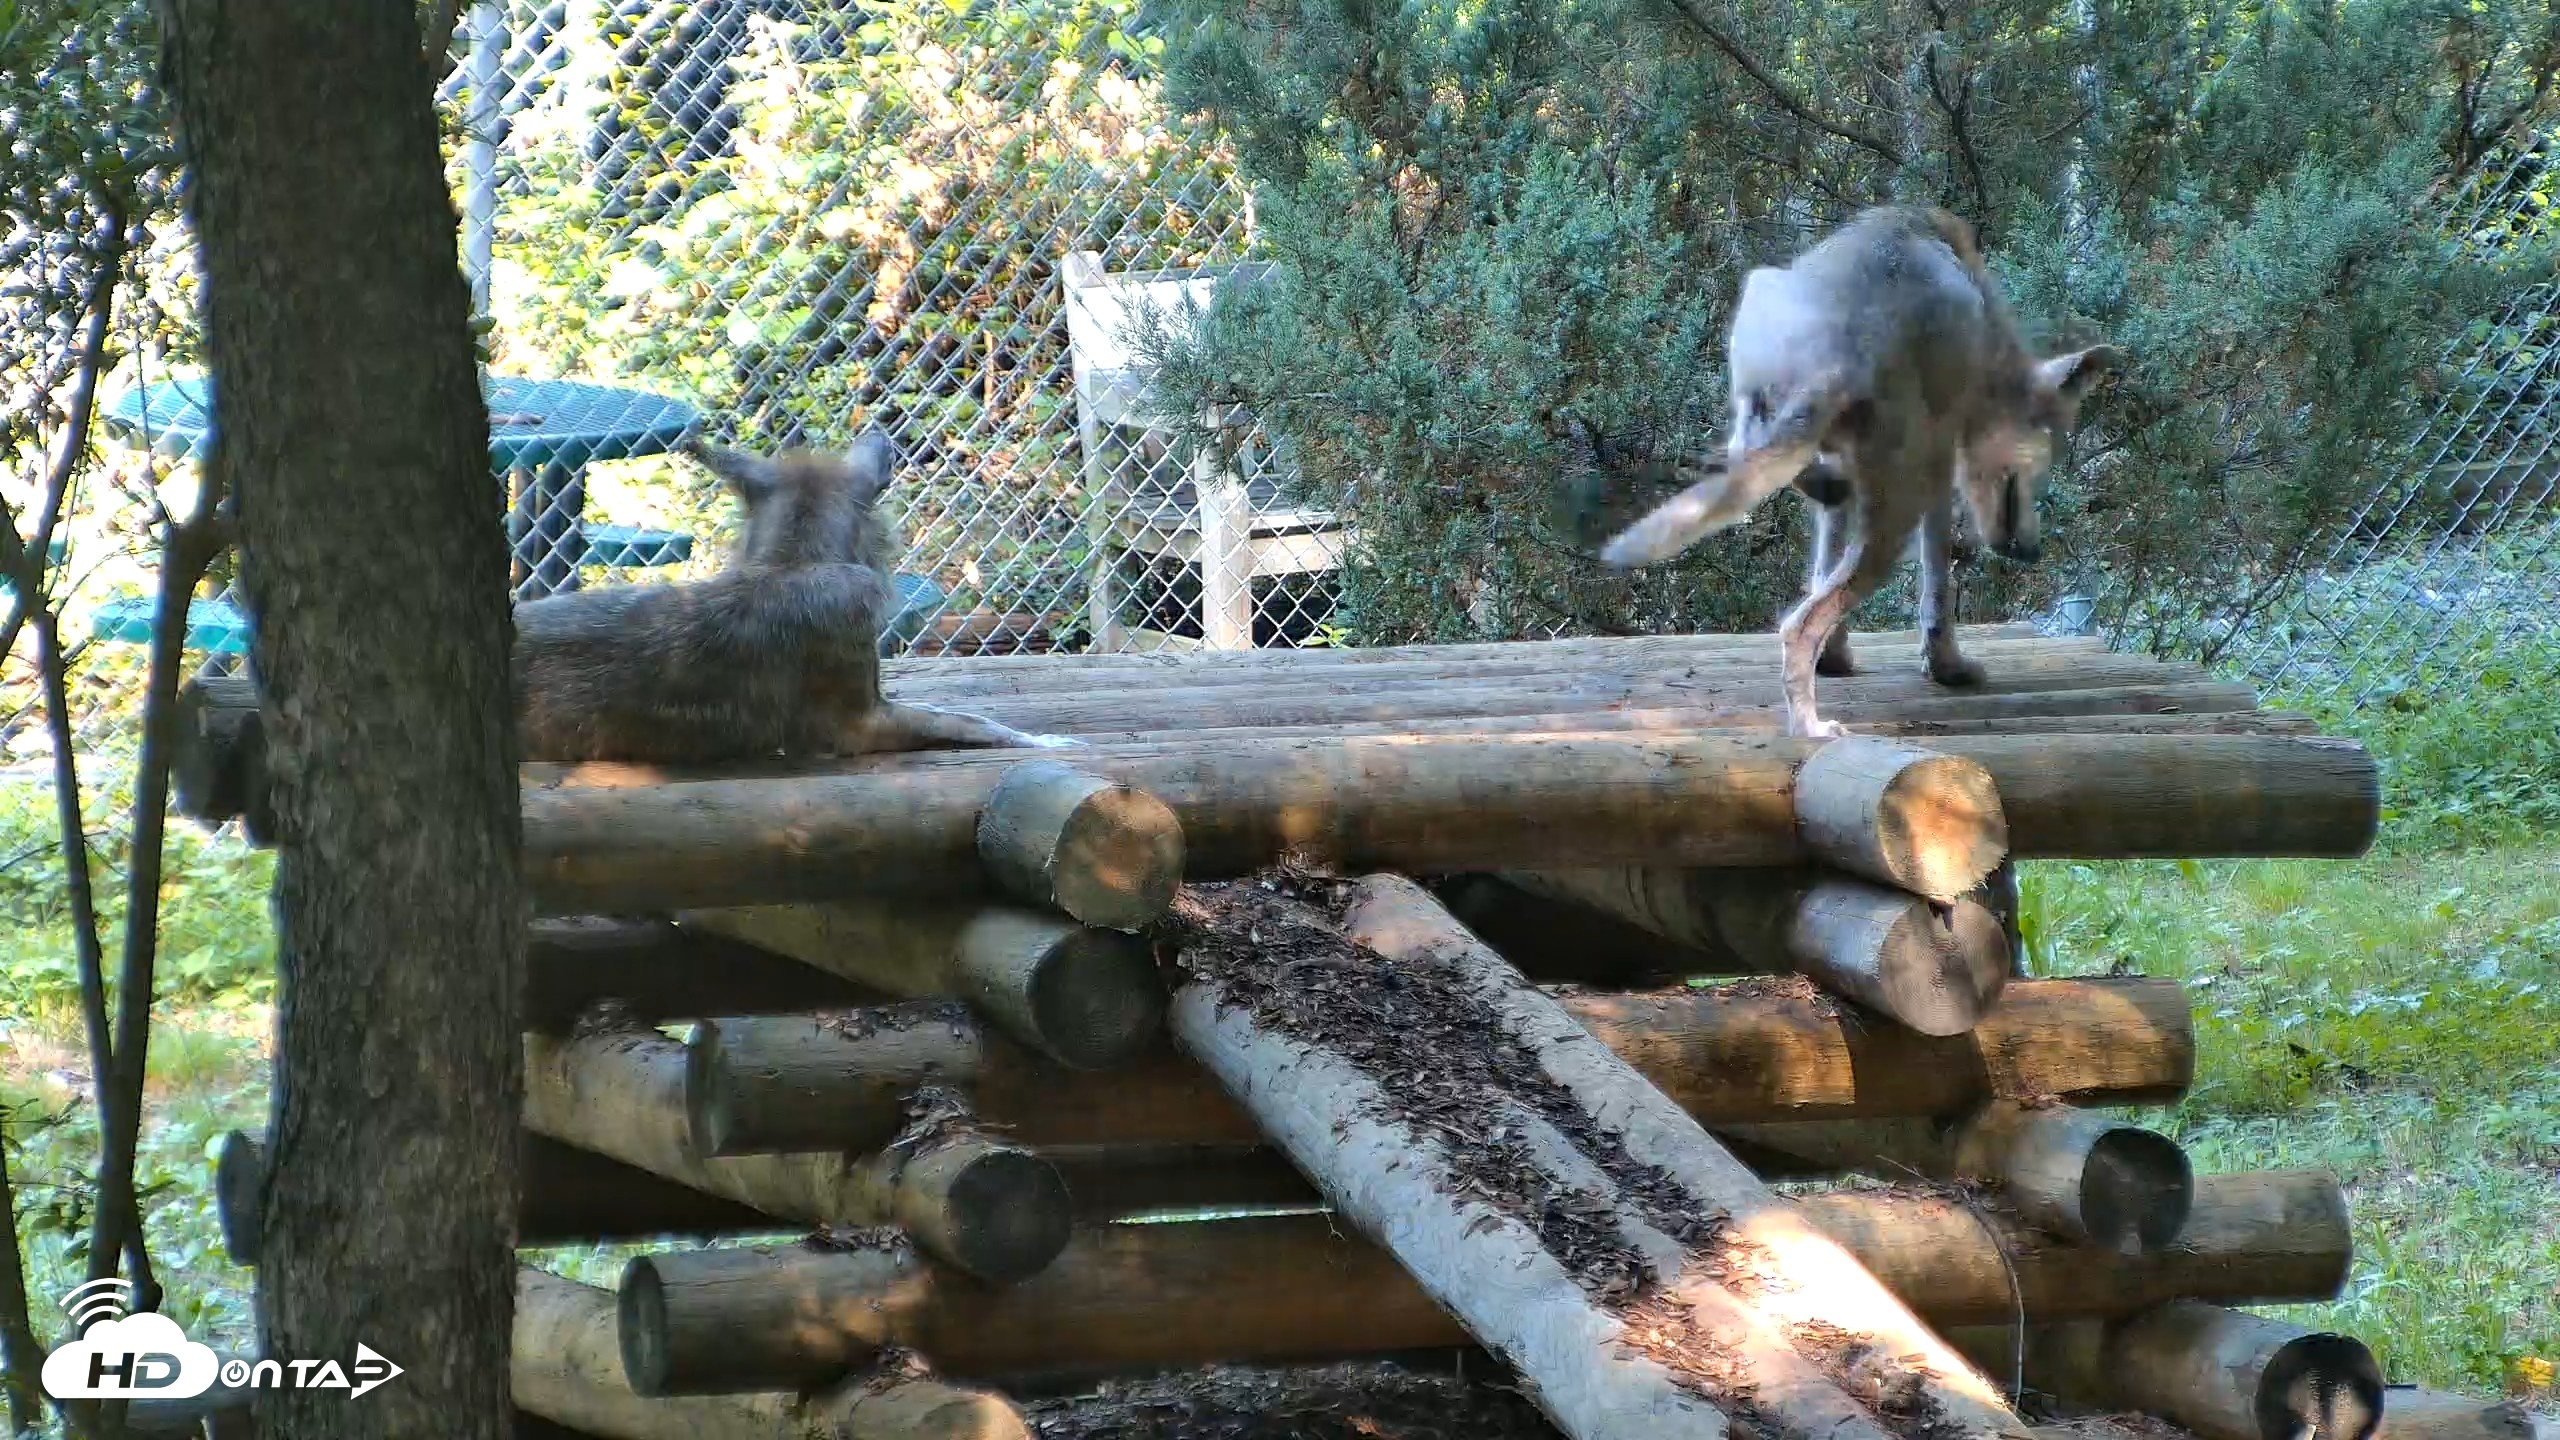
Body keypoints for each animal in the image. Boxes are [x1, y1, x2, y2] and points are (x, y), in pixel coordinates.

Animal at [1593, 205, 2118, 738]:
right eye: (2050, 458)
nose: (2032, 552)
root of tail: (1841, 354)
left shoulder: (1846, 479)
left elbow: (1825, 563)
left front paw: (1838, 657)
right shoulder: (1939, 471)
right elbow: (1937, 589)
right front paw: (1946, 668)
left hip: (1760, 357)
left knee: (1761, 471)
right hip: (1899, 508)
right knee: (1798, 627)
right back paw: (1811, 727)